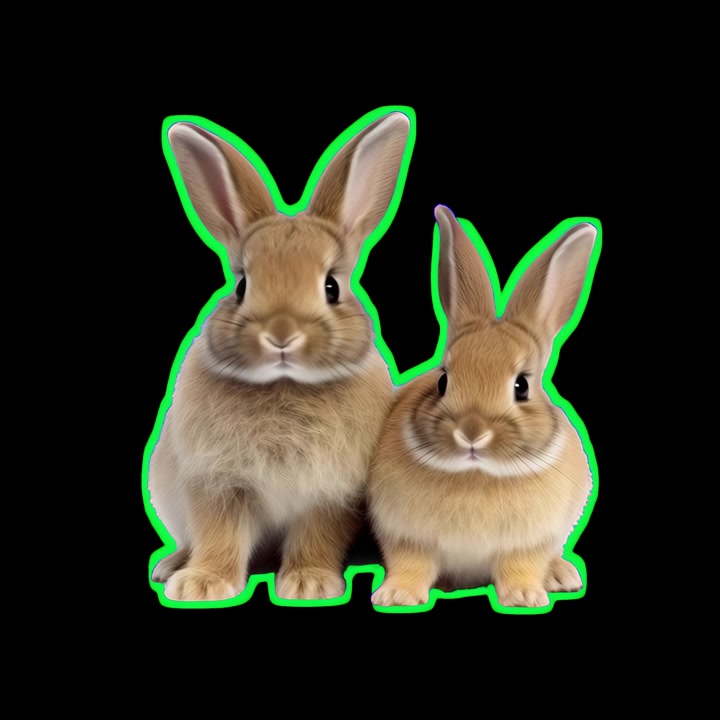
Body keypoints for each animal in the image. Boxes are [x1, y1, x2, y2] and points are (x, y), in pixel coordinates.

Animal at [148, 110, 412, 602]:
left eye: (331, 286)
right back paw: (172, 566)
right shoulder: (216, 482)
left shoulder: (329, 493)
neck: (284, 385)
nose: (282, 335)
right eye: (241, 285)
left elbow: (316, 536)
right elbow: (218, 535)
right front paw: (202, 585)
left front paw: (309, 584)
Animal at [368, 205, 598, 608]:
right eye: (443, 381)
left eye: (522, 386)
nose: (471, 433)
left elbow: (520, 566)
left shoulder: (528, 542)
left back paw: (561, 575)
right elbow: (410, 564)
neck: (477, 474)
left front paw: (524, 596)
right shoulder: (406, 537)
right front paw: (397, 596)